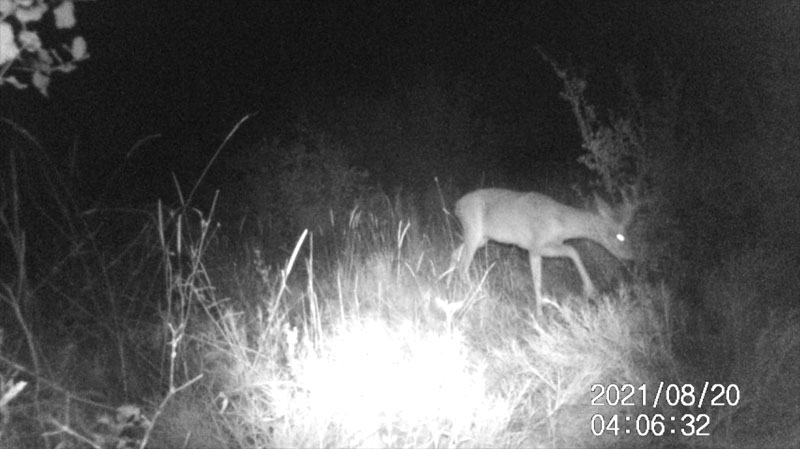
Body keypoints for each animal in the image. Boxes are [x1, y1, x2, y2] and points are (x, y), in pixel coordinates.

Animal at [454, 187, 636, 314]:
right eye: (620, 236)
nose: (631, 255)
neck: (562, 224)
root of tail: (457, 206)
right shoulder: (536, 245)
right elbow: (571, 251)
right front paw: (590, 291)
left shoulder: (539, 249)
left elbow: (539, 280)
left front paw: (540, 310)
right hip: (474, 232)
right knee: (462, 266)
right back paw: (478, 296)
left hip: (480, 239)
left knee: (455, 254)